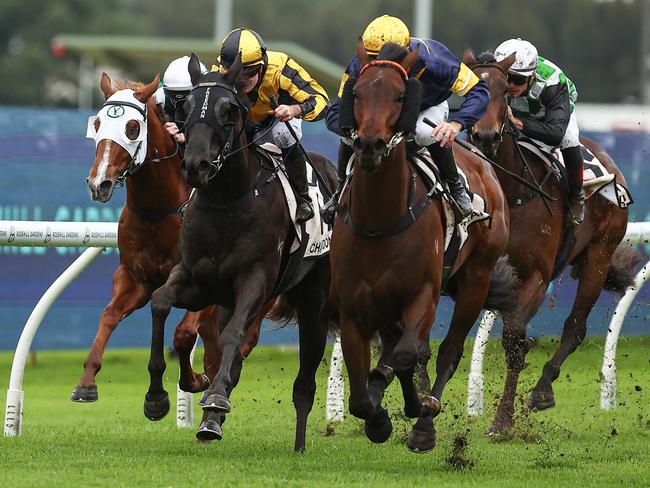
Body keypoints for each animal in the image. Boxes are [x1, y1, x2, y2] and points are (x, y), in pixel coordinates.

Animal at [78, 73, 264, 412]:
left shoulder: (204, 285)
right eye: (97, 123)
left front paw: (191, 382)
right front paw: (87, 381)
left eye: (132, 127)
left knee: (243, 337)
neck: (159, 211)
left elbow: (184, 333)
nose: (100, 183)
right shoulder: (136, 279)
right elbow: (108, 316)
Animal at [144, 54, 336, 454]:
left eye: (228, 109)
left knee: (304, 380)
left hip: (314, 301)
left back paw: (298, 443)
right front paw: (156, 398)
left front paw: (215, 398)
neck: (227, 202)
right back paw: (209, 421)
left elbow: (233, 336)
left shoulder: (255, 282)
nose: (196, 165)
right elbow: (160, 302)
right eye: (185, 106)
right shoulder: (198, 281)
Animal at [332, 43, 512, 454]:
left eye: (401, 95)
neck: (379, 220)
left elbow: (407, 356)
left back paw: (425, 424)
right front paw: (378, 418)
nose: (369, 145)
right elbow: (362, 394)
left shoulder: (423, 295)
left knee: (448, 350)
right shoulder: (353, 309)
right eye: (356, 93)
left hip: (476, 279)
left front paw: (418, 407)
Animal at [460, 49, 632, 434]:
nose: (486, 136)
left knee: (575, 328)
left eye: (502, 91)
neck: (511, 193)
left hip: (599, 256)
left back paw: (542, 390)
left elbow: (514, 342)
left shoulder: (535, 279)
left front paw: (502, 421)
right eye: (472, 91)